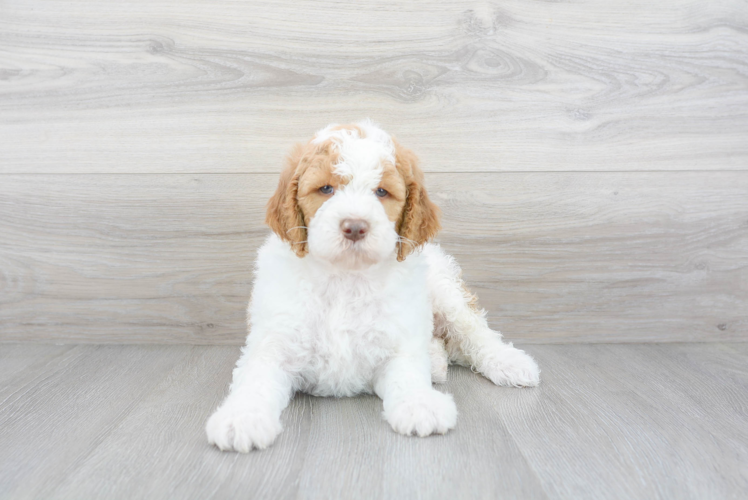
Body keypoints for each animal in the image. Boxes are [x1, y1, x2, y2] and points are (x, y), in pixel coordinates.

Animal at [207, 121, 540, 454]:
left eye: (381, 191)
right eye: (326, 189)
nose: (355, 227)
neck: (345, 278)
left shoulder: (398, 340)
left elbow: (408, 371)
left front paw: (419, 404)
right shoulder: (275, 340)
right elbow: (256, 376)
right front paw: (241, 418)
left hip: (444, 289)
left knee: (473, 331)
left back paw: (508, 362)